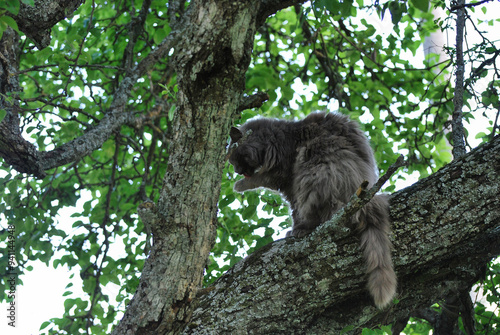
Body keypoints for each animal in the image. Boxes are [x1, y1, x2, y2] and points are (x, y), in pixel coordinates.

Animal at [229, 112, 396, 310]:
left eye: (236, 159)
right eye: (232, 162)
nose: (237, 171)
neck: (273, 135)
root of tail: (368, 199)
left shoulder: (282, 171)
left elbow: (262, 181)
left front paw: (240, 185)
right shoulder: (288, 185)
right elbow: (292, 207)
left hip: (314, 172)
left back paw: (305, 228)